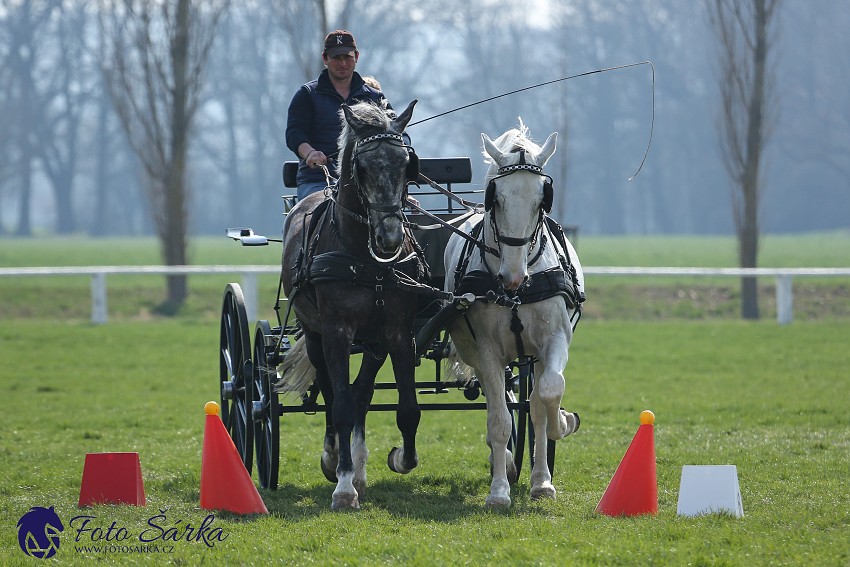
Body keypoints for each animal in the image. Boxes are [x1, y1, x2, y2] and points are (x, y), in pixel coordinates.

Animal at [444, 122, 584, 508]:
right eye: (497, 198)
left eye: (542, 200)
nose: (513, 276)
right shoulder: (488, 351)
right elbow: (499, 421)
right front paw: (498, 491)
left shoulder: (554, 341)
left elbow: (548, 394)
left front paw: (561, 426)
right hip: (476, 354)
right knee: (500, 407)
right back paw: (505, 461)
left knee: (532, 404)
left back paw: (538, 476)